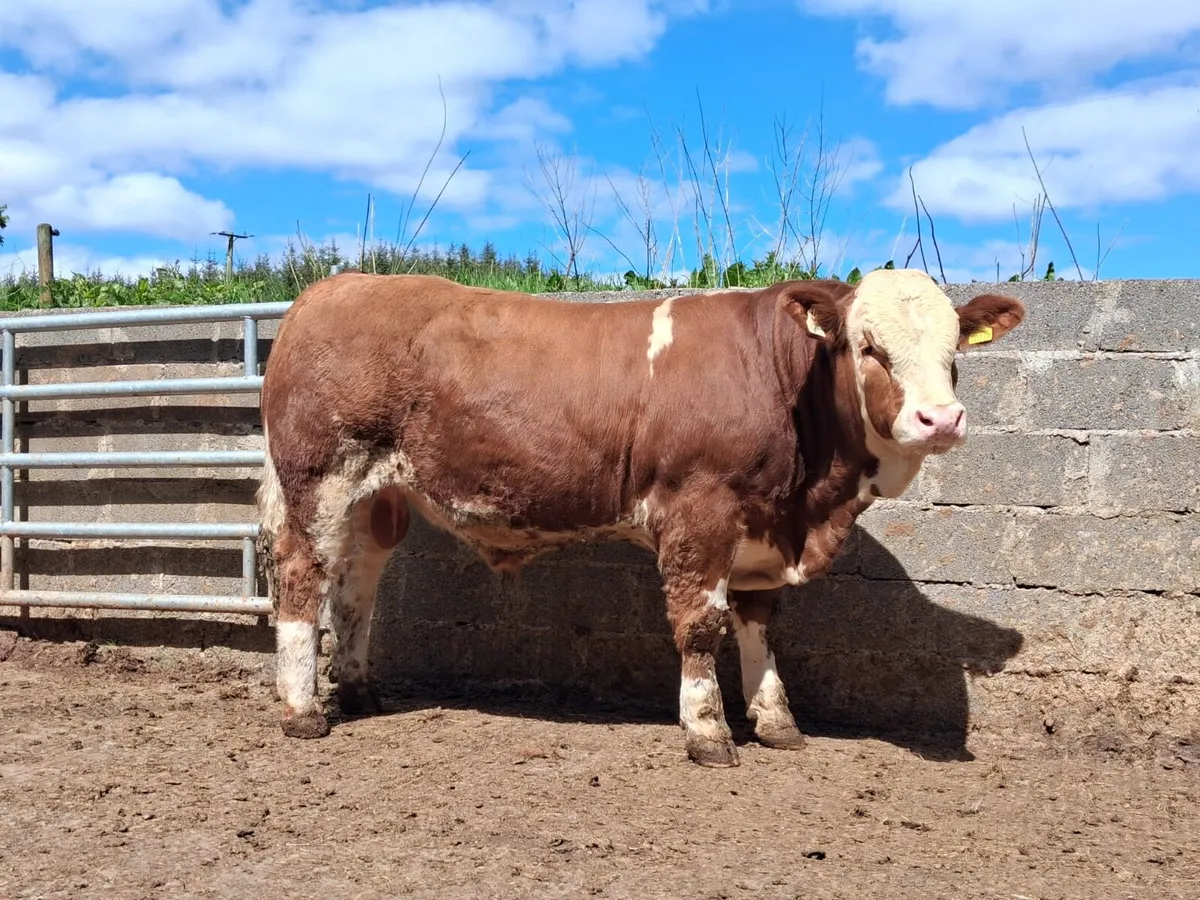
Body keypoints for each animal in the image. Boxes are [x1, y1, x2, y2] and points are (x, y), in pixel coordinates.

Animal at [256, 267, 1025, 767]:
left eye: (955, 349)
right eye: (868, 346)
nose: (940, 420)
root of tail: (332, 286)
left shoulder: (761, 530)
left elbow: (759, 624)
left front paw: (777, 722)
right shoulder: (701, 508)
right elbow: (701, 624)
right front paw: (709, 732)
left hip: (377, 499)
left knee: (356, 586)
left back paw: (360, 693)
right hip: (319, 478)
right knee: (301, 577)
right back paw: (302, 712)